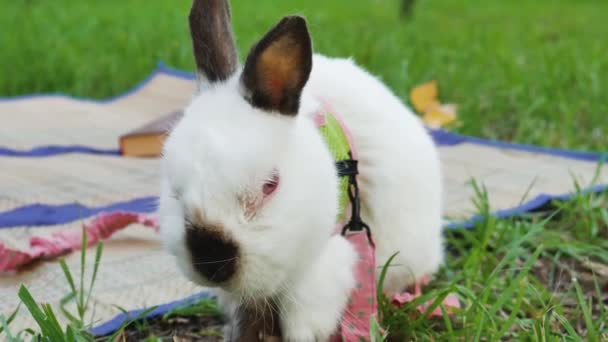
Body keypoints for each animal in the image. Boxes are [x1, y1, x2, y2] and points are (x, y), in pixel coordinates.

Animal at [158, 1, 442, 340]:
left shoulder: (324, 269)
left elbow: (302, 325)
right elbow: (248, 318)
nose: (211, 260)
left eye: (270, 185)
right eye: (174, 191)